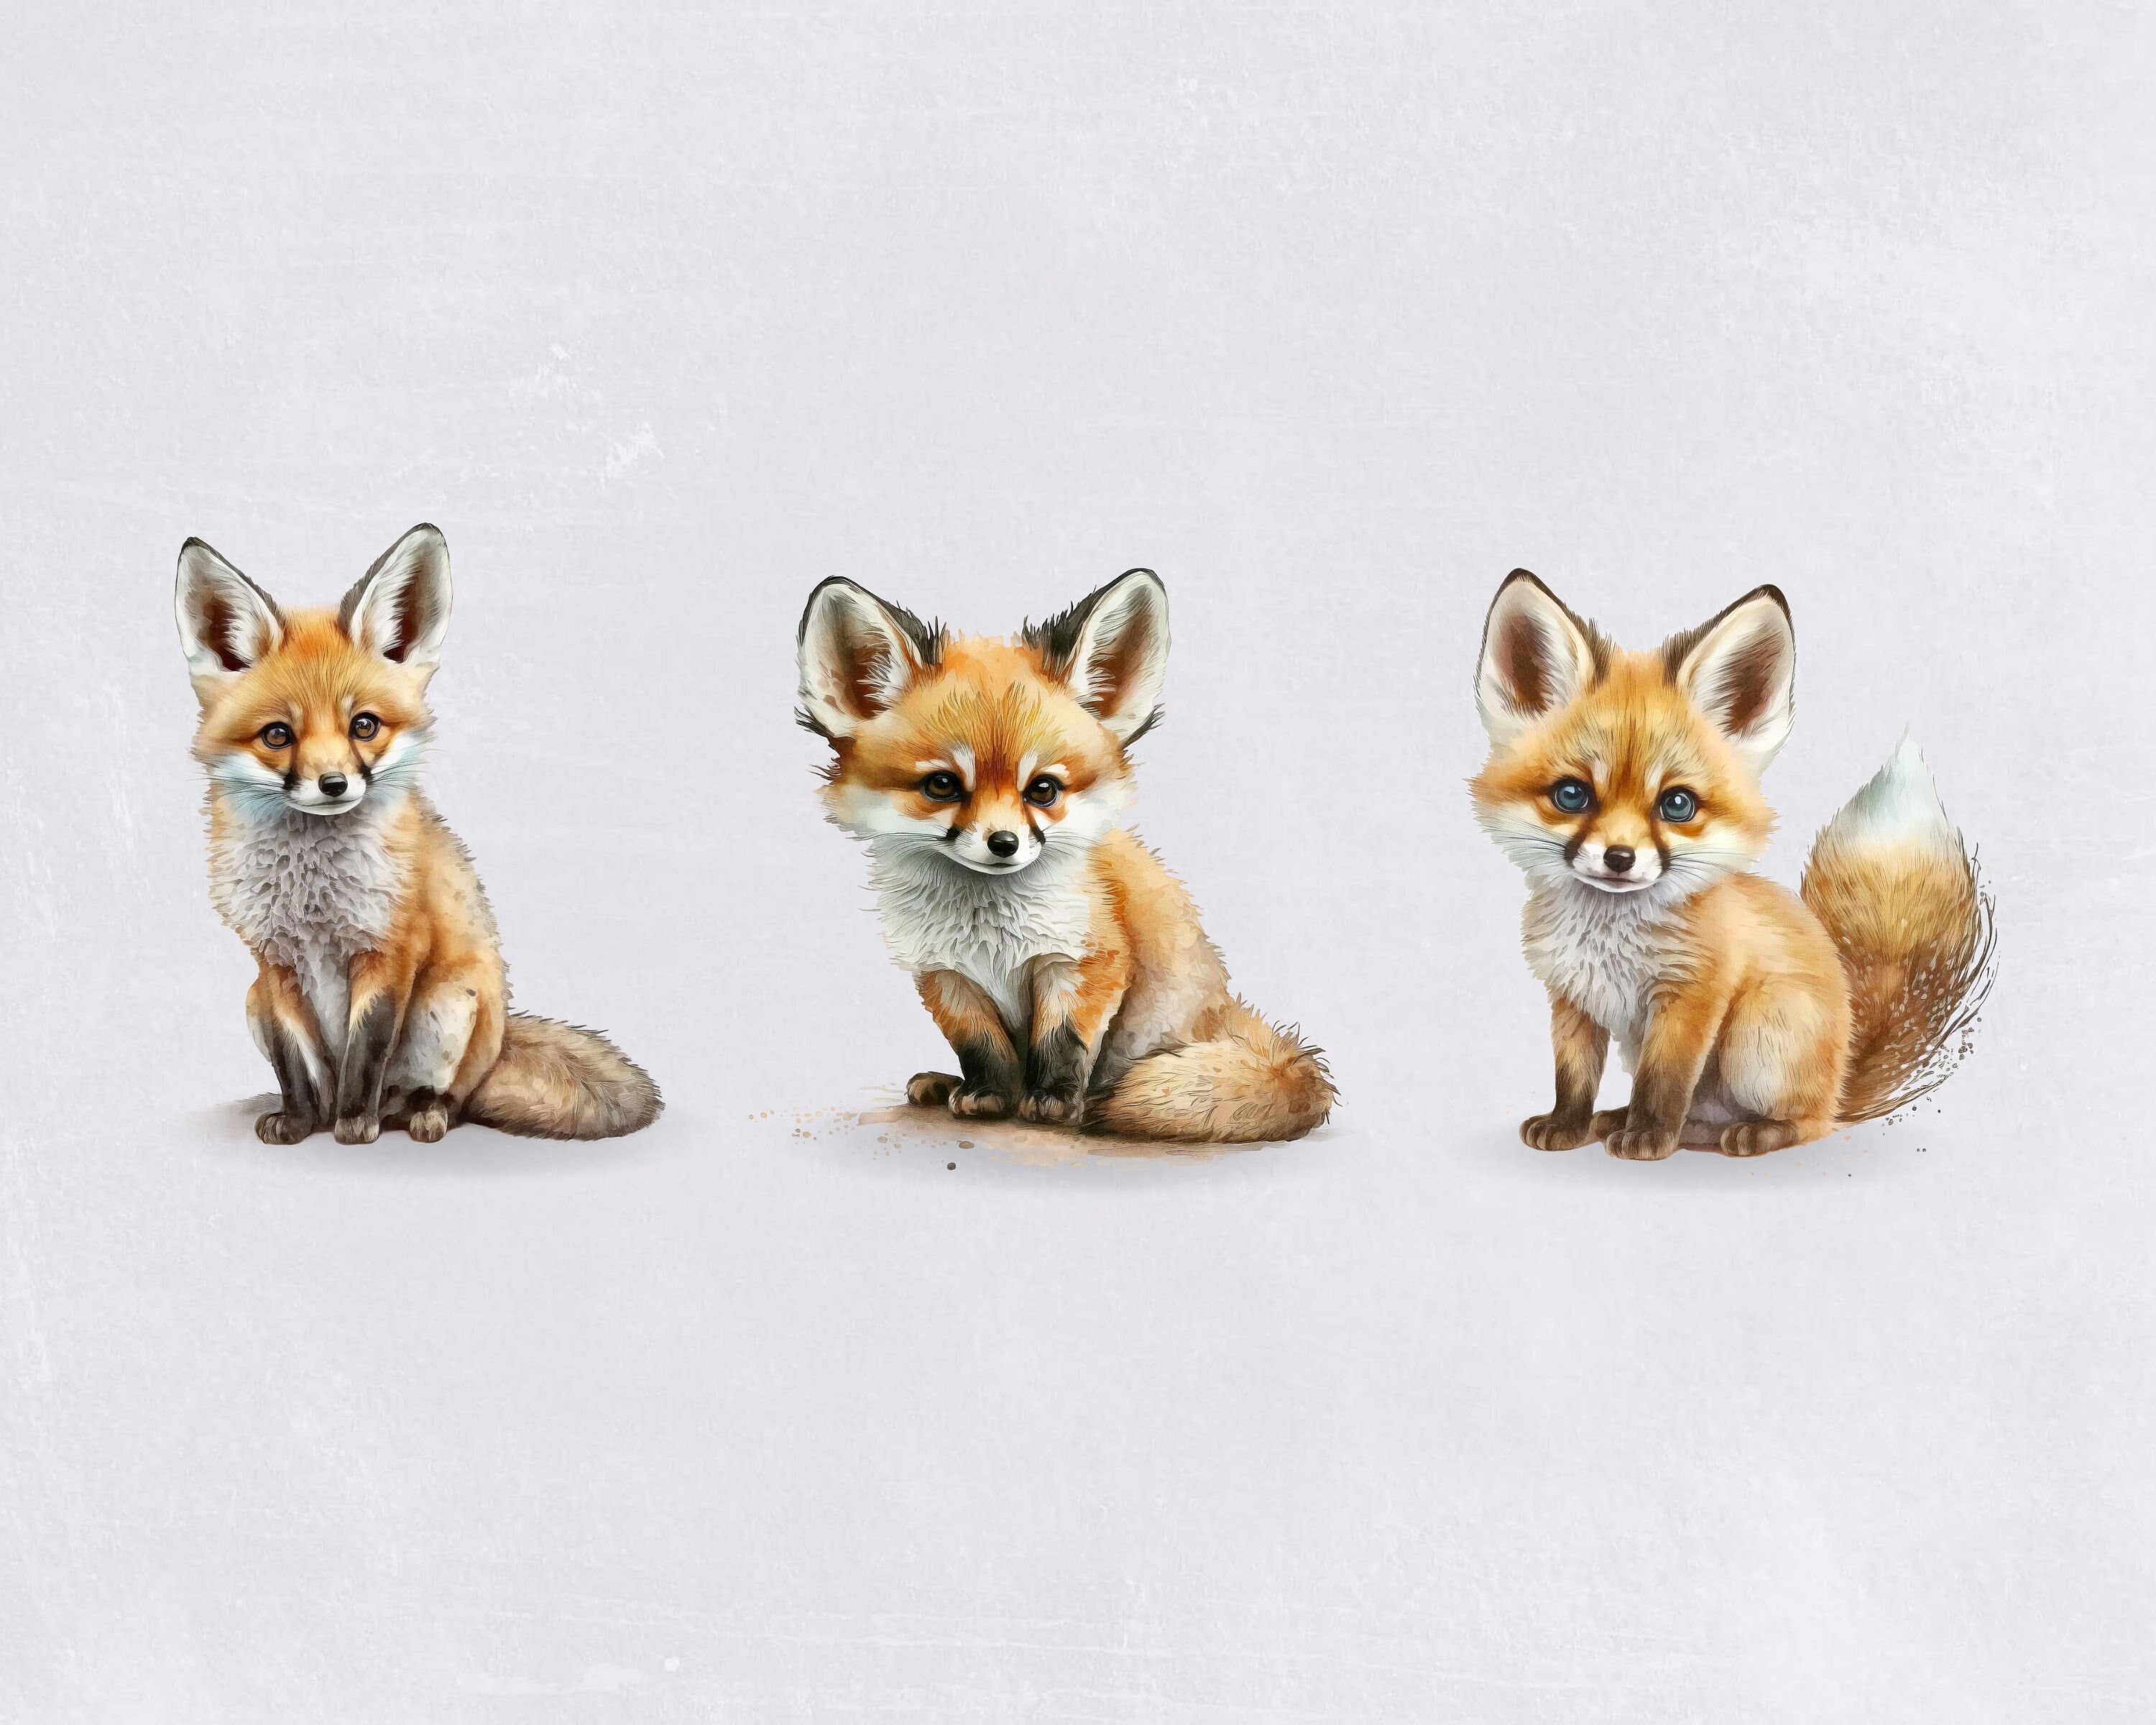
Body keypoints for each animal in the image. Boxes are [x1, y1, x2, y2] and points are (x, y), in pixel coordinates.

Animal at [174, 523, 661, 1145]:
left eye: (364, 726)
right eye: (278, 735)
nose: (334, 784)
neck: (313, 897)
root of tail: (503, 1039)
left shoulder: (392, 951)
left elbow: (366, 1053)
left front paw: (354, 1125)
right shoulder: (273, 964)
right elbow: (293, 1065)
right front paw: (302, 1121)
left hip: (452, 1002)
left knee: (447, 1095)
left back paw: (416, 1114)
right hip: (252, 1001)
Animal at [795, 568, 1334, 1144]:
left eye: (1043, 789)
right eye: (942, 785)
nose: (1004, 843)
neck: (989, 935)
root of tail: (1227, 1006)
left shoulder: (1083, 963)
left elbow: (1061, 1043)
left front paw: (1053, 1101)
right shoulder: (945, 976)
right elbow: (983, 1049)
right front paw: (989, 1094)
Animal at [1469, 570, 1993, 1160]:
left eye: (1677, 804)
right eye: (1571, 795)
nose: (1620, 858)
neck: (1609, 940)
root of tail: (1841, 1080)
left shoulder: (1692, 997)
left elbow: (1664, 1082)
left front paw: (1648, 1137)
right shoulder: (1573, 996)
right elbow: (1574, 1075)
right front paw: (1568, 1126)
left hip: (1756, 1034)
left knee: (1810, 1124)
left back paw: (1750, 1133)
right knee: (1706, 1117)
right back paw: (1644, 1123)